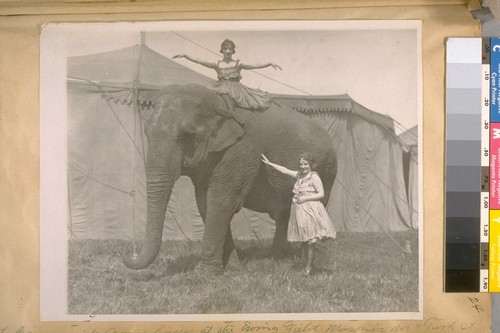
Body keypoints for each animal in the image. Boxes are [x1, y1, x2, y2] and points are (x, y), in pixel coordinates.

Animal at [122, 84, 338, 274]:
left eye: (186, 136)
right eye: (147, 133)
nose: (129, 254)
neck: (218, 101)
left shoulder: (241, 149)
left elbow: (221, 202)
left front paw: (204, 274)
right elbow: (205, 204)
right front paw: (234, 268)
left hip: (327, 172)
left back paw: (301, 259)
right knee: (282, 216)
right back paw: (277, 257)